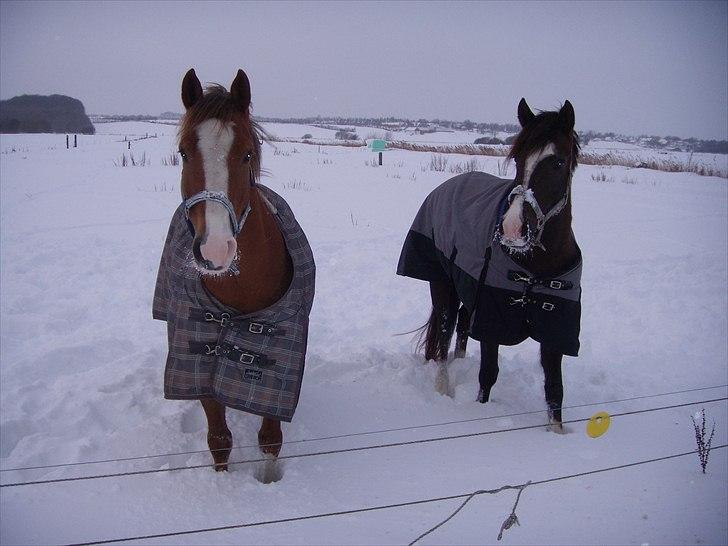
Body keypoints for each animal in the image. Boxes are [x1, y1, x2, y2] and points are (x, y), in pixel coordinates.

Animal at [398, 98, 580, 430]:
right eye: (518, 159)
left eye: (557, 163)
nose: (512, 229)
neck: (536, 267)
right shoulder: (492, 320)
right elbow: (488, 376)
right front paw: (481, 418)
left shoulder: (555, 329)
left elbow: (554, 389)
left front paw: (557, 433)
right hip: (443, 286)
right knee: (443, 333)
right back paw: (443, 387)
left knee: (460, 328)